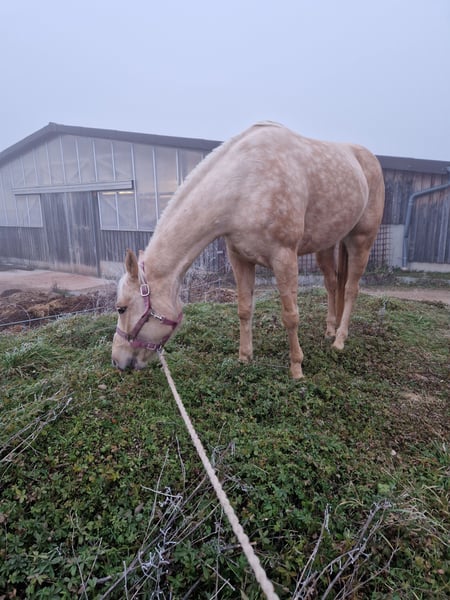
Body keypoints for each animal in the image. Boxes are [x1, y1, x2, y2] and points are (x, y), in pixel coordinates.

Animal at [111, 122, 385, 378]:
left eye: (121, 308)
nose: (117, 361)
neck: (245, 185)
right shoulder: (240, 259)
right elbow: (244, 310)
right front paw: (244, 358)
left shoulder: (284, 258)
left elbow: (290, 315)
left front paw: (297, 368)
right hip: (327, 245)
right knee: (332, 284)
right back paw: (329, 330)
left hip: (361, 240)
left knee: (350, 289)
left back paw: (339, 340)